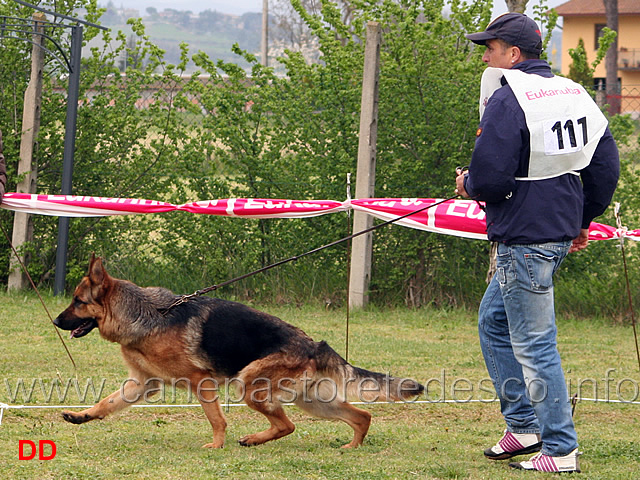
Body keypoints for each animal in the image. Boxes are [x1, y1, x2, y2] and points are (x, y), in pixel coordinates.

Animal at [55, 256, 424, 448]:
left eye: (77, 301)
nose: (56, 321)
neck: (147, 314)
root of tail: (314, 344)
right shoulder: (142, 384)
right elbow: (107, 403)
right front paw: (82, 416)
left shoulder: (200, 381)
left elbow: (216, 418)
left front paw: (216, 446)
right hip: (311, 400)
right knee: (360, 416)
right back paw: (350, 446)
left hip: (250, 384)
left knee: (288, 425)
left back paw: (254, 439)